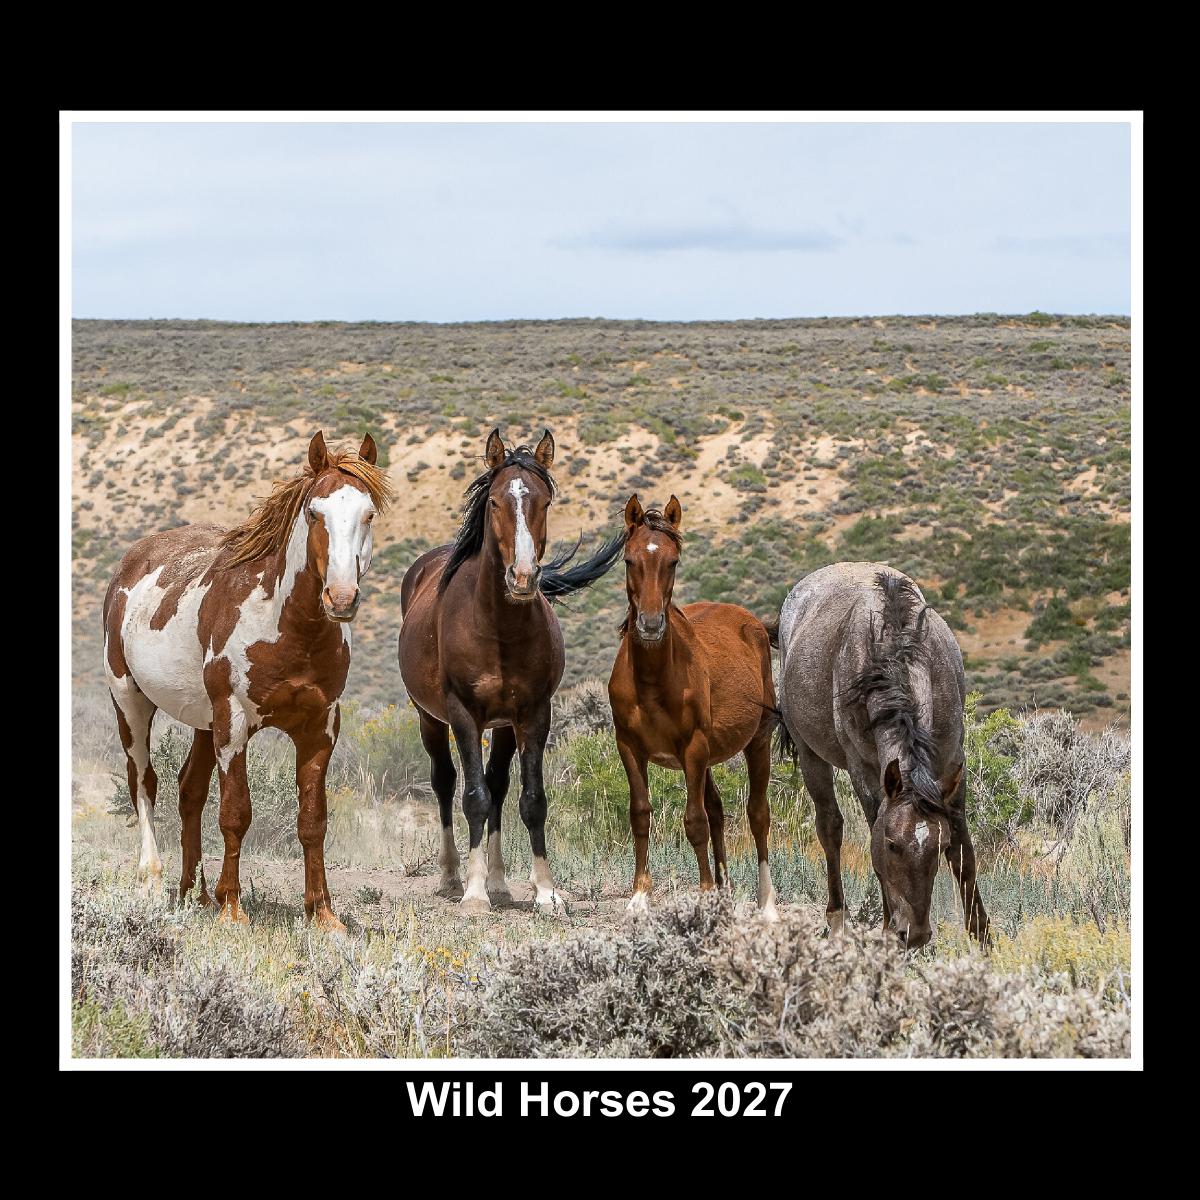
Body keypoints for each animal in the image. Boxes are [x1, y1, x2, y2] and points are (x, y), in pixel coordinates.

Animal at [101, 431, 393, 931]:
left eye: (368, 513)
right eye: (314, 513)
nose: (341, 598)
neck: (286, 628)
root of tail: (131, 562)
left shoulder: (320, 729)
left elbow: (312, 820)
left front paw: (323, 914)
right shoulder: (235, 724)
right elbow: (236, 813)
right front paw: (233, 909)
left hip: (203, 723)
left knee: (189, 792)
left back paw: (194, 894)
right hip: (132, 704)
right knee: (144, 782)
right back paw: (152, 883)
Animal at [398, 428, 624, 916]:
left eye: (544, 501)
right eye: (495, 502)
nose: (522, 577)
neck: (498, 626)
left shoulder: (534, 714)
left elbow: (530, 799)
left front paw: (545, 892)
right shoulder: (463, 714)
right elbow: (473, 797)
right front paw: (474, 892)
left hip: (502, 725)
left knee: (499, 786)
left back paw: (500, 883)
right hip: (429, 718)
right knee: (445, 782)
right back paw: (451, 876)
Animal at [607, 494, 779, 916]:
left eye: (673, 561)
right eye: (629, 560)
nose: (650, 625)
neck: (653, 682)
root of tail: (753, 623)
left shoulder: (693, 749)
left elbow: (695, 821)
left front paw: (702, 896)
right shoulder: (629, 747)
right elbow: (640, 814)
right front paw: (639, 896)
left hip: (756, 743)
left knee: (757, 815)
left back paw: (767, 903)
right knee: (717, 810)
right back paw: (724, 892)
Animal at [773, 562, 989, 949]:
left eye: (939, 846)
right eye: (891, 845)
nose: (914, 934)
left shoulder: (951, 763)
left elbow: (964, 852)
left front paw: (981, 936)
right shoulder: (864, 770)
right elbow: (873, 829)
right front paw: (888, 927)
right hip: (811, 756)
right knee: (830, 827)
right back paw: (838, 920)